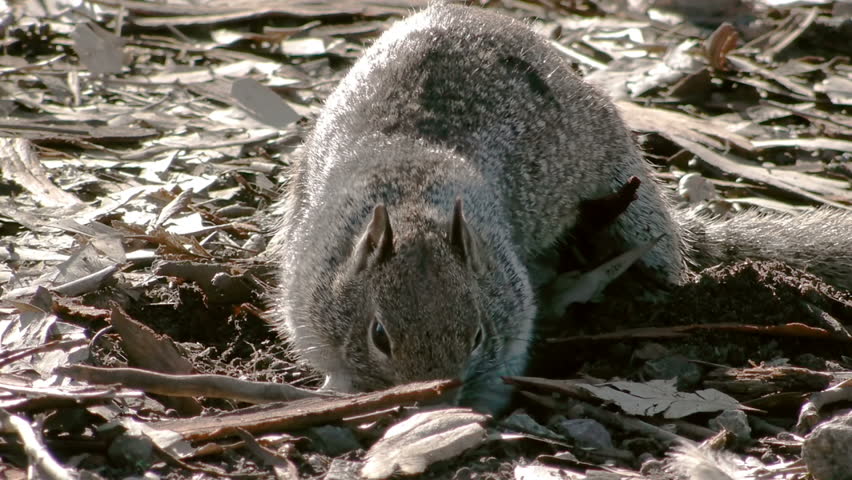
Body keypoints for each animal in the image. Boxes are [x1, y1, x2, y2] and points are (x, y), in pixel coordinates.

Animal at [268, 4, 852, 413]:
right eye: (380, 337)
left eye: (477, 335)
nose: (435, 400)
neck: (413, 201)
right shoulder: (307, 293)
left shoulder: (513, 307)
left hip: (630, 200)